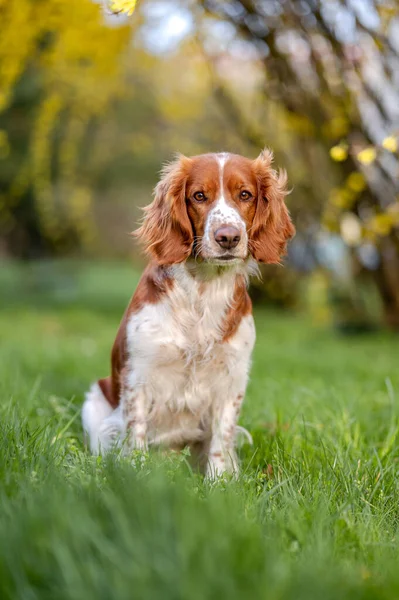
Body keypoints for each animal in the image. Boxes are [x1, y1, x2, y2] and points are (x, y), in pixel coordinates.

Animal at [82, 150, 294, 478]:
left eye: (245, 194)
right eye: (199, 195)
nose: (228, 237)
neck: (203, 292)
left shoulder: (231, 378)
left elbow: (220, 440)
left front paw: (219, 483)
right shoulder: (138, 376)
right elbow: (136, 434)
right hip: (94, 405)